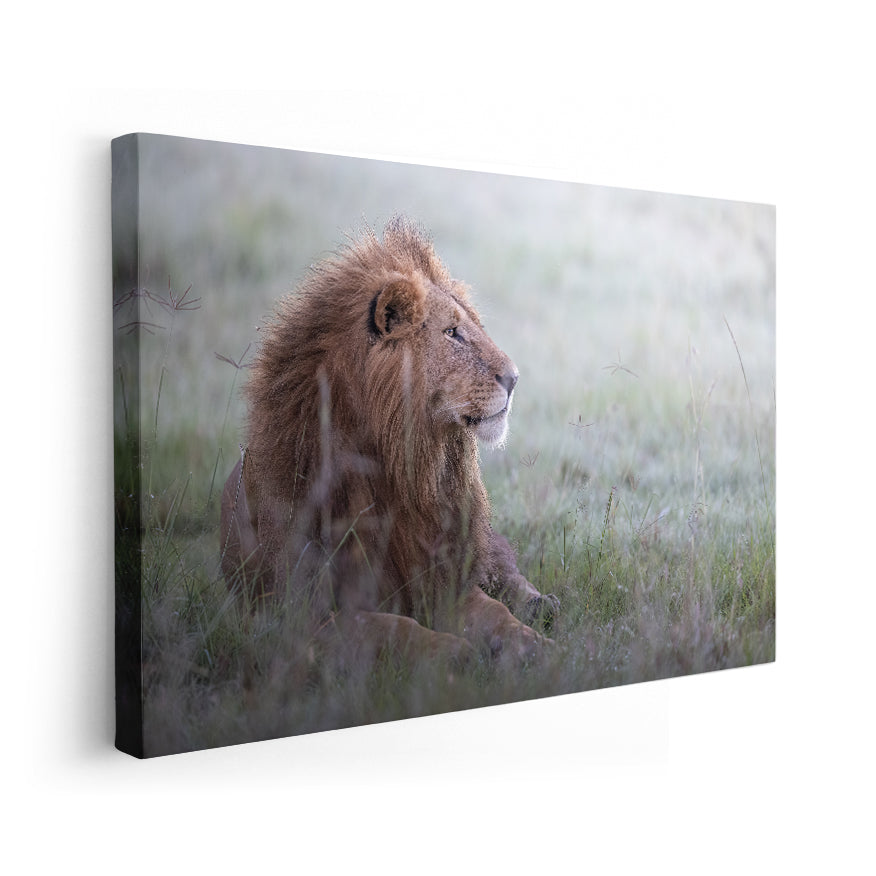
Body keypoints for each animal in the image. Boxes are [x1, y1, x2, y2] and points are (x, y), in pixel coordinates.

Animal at [220, 217, 558, 667]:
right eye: (453, 333)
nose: (516, 378)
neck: (403, 471)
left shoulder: (445, 581)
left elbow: (496, 613)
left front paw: (534, 646)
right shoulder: (303, 618)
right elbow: (392, 627)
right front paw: (453, 651)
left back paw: (542, 605)